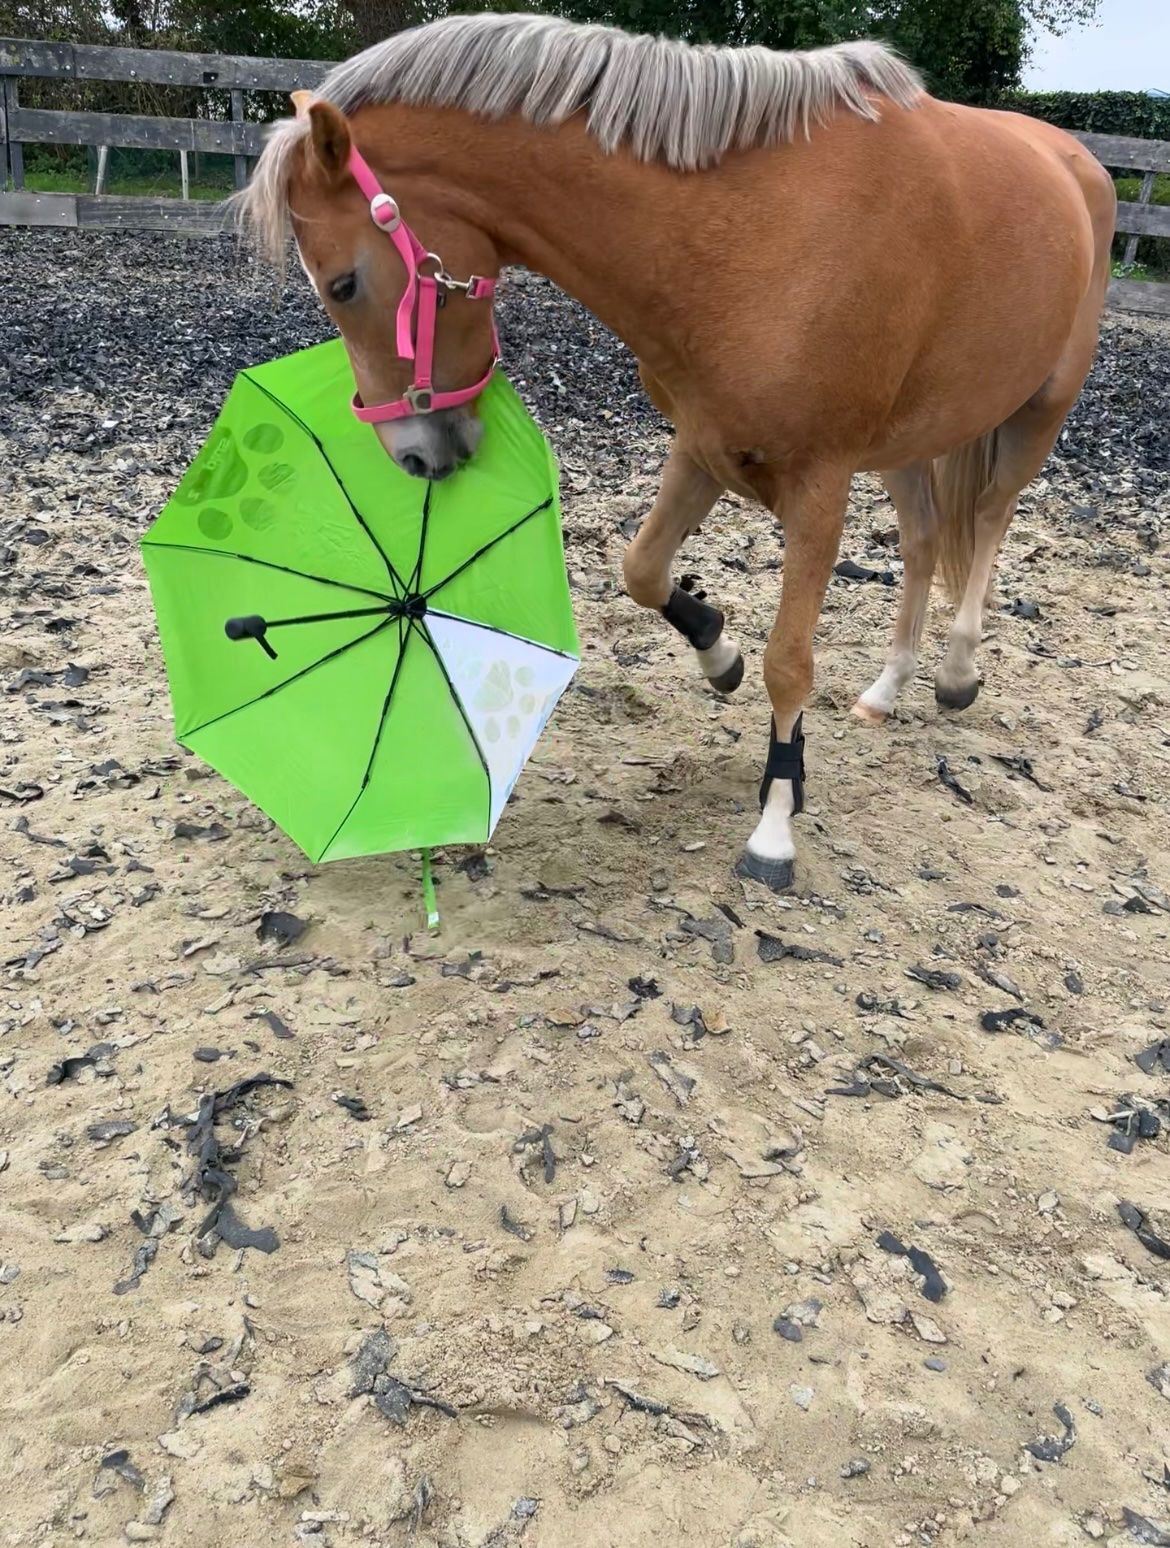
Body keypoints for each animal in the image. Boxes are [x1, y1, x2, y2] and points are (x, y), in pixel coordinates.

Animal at [236, 13, 1116, 892]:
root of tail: (1076, 162)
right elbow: (643, 570)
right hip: (911, 441)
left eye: (344, 284)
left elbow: (789, 663)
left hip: (1038, 413)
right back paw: (890, 685)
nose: (415, 456)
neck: (750, 231)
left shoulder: (820, 483)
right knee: (927, 541)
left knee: (990, 524)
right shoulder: (704, 447)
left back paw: (957, 672)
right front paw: (717, 651)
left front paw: (775, 822)